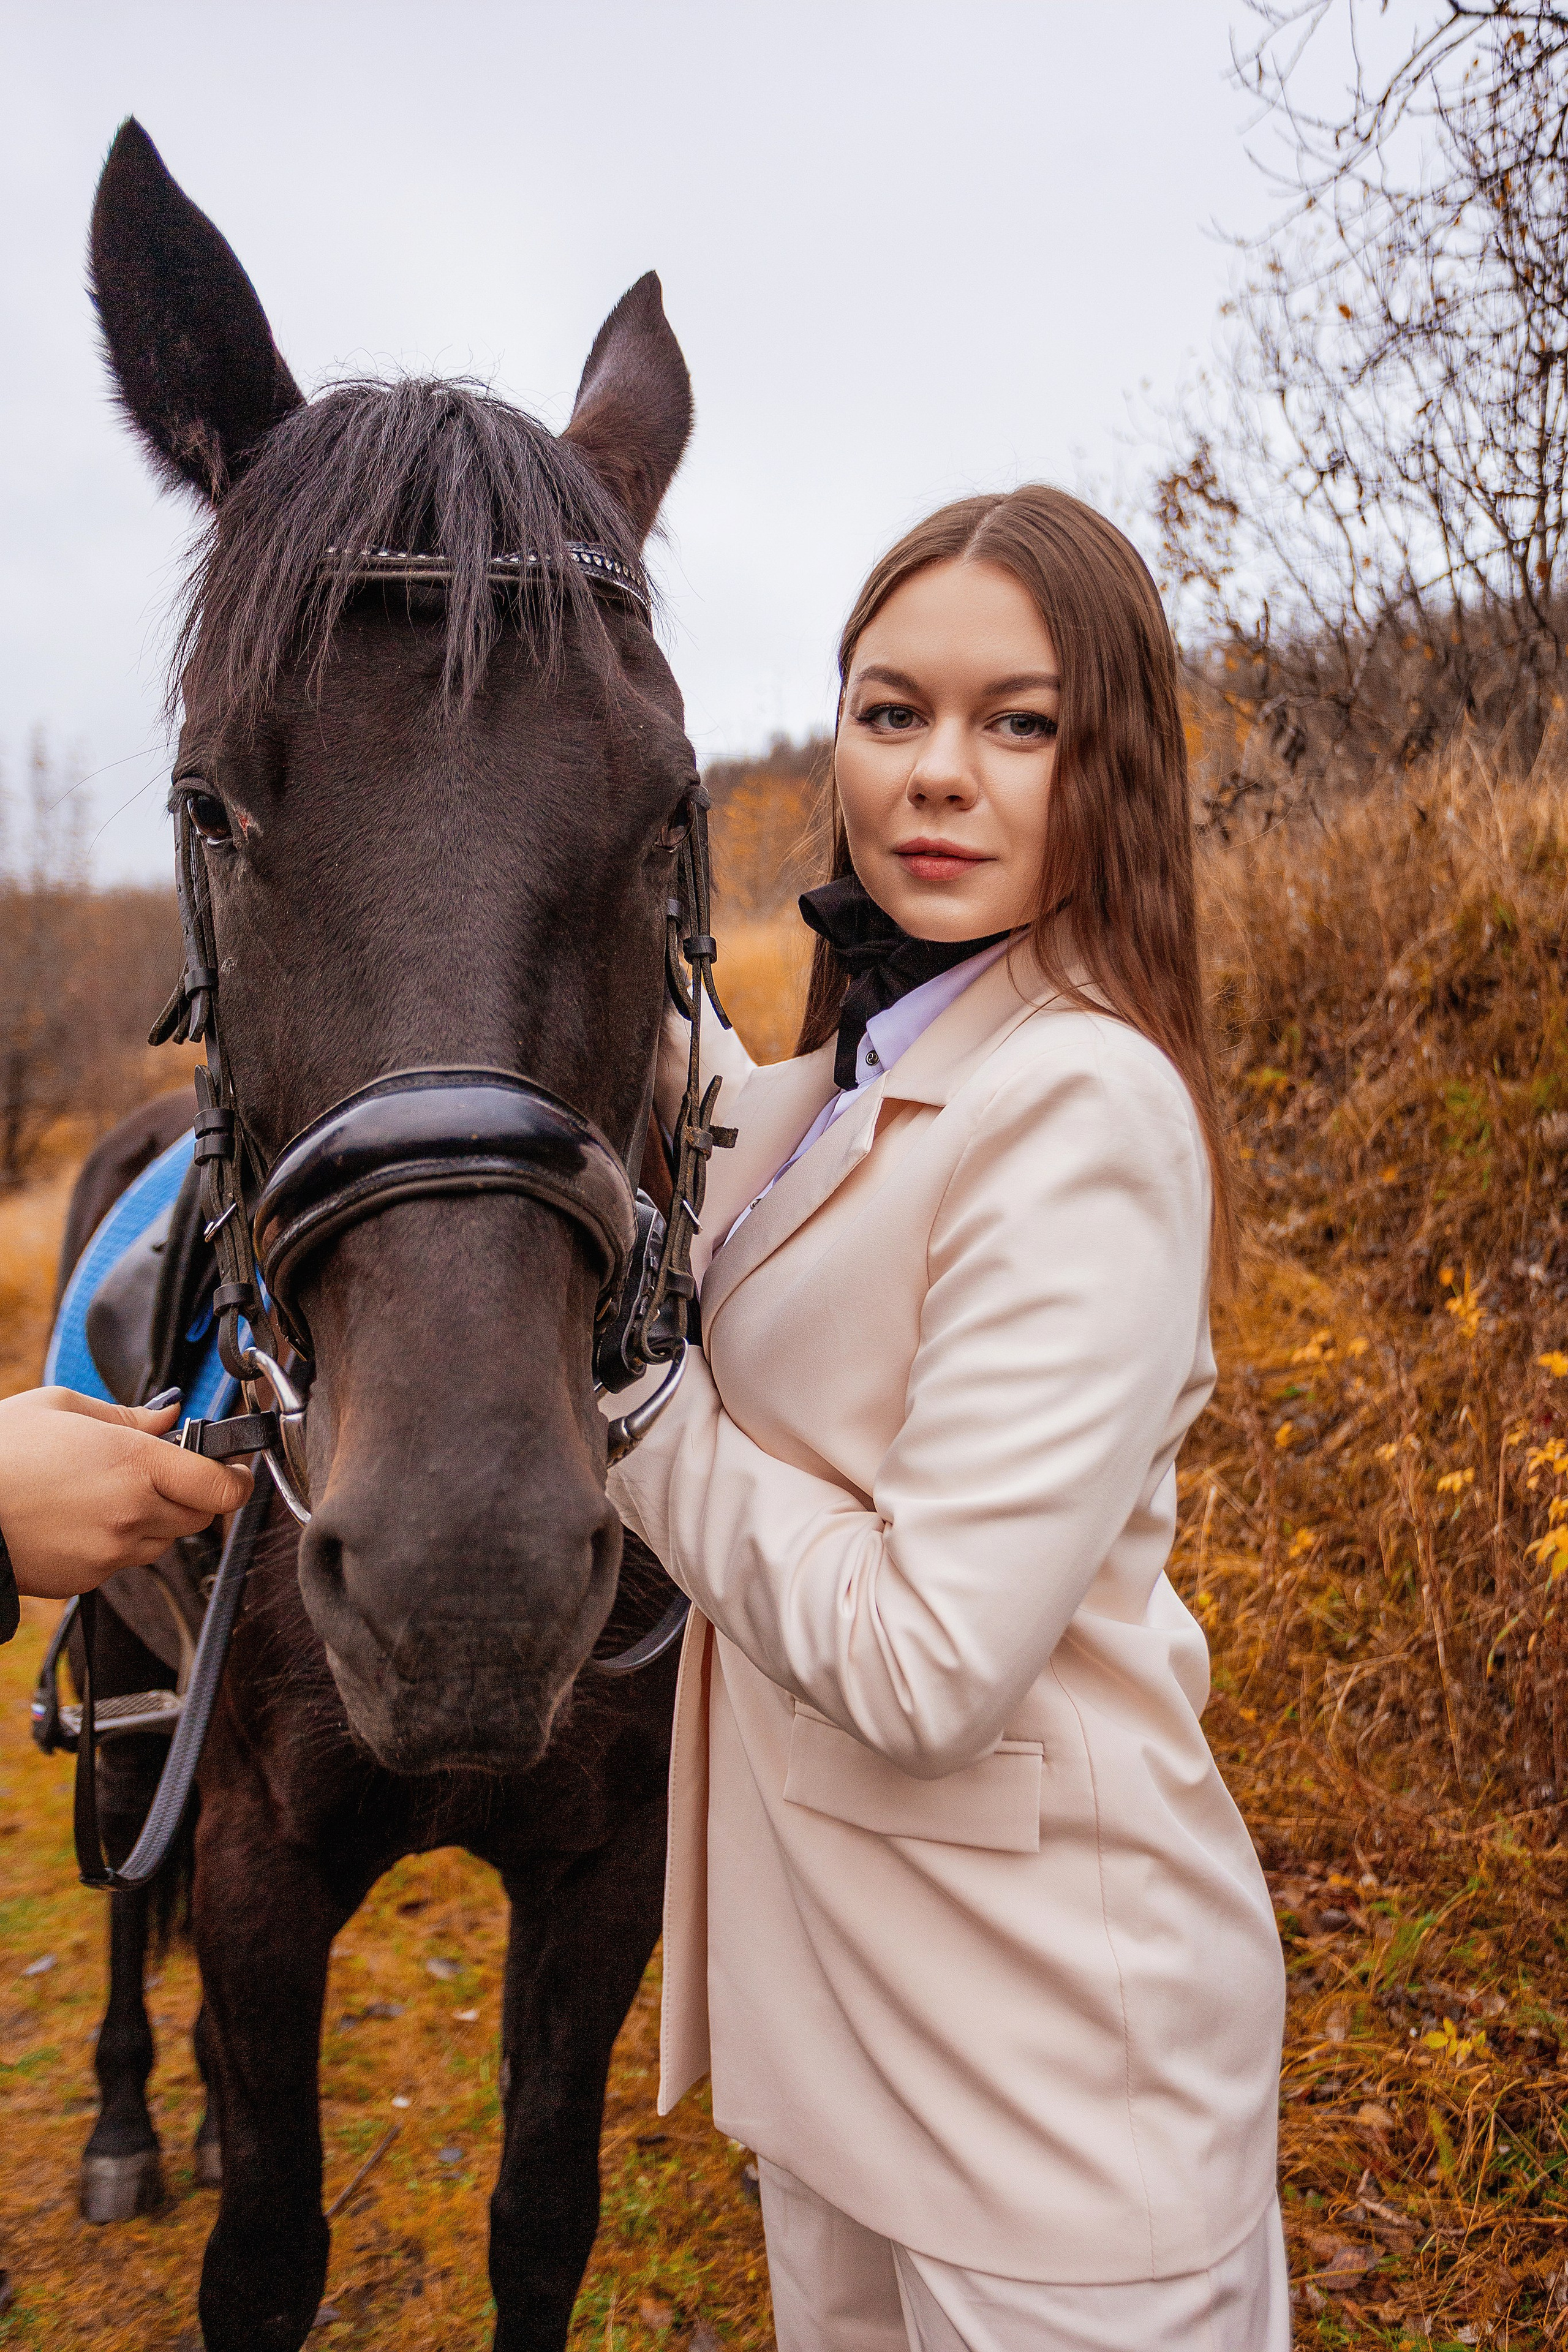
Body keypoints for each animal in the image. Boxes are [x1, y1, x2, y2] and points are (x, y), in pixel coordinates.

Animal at [55, 116, 718, 2352]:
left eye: (668, 809)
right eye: (210, 803)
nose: (466, 1583)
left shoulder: (600, 1871)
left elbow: (542, 2218)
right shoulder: (261, 1872)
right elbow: (266, 2251)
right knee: (122, 1880)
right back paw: (121, 2118)